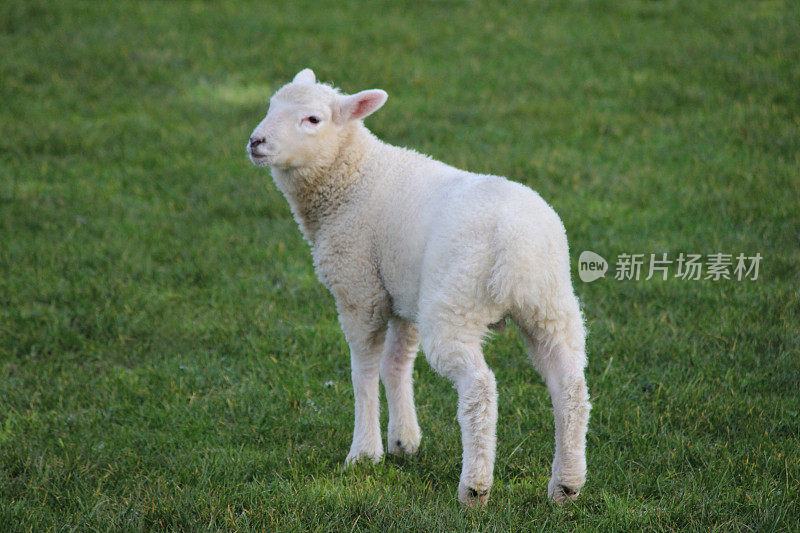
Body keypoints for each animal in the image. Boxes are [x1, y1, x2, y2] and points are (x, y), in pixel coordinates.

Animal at [247, 68, 592, 504]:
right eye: (271, 105)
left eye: (313, 120)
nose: (256, 142)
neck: (352, 176)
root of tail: (517, 241)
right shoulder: (403, 290)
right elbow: (396, 362)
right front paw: (403, 442)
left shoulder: (359, 289)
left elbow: (363, 369)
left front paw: (364, 452)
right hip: (550, 306)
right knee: (571, 387)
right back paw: (566, 484)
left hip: (455, 302)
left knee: (479, 388)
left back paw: (475, 488)